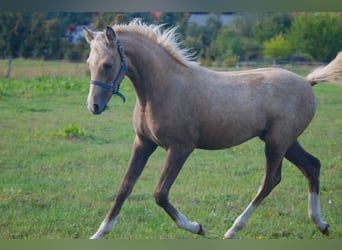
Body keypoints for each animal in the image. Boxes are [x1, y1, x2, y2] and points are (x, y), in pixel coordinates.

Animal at [83, 19, 342, 238]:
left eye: (108, 64)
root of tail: (307, 82)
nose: (93, 106)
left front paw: (196, 227)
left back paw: (233, 230)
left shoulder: (180, 149)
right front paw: (99, 233)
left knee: (271, 180)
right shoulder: (143, 143)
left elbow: (160, 193)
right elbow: (124, 187)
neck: (164, 88)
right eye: (89, 64)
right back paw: (321, 224)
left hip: (277, 143)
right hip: (286, 142)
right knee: (312, 166)